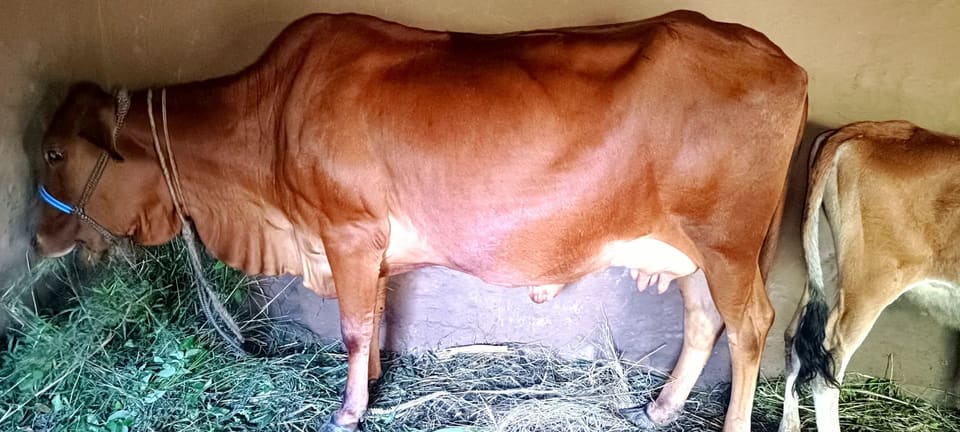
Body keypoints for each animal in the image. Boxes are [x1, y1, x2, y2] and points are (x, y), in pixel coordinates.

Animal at [33, 10, 807, 431]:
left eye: (53, 151)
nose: (38, 236)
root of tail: (782, 61)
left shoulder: (346, 231)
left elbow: (351, 324)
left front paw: (348, 410)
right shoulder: (367, 244)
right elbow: (373, 315)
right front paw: (373, 383)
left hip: (729, 243)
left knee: (751, 327)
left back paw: (731, 421)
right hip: (689, 247)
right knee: (704, 321)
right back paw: (661, 408)